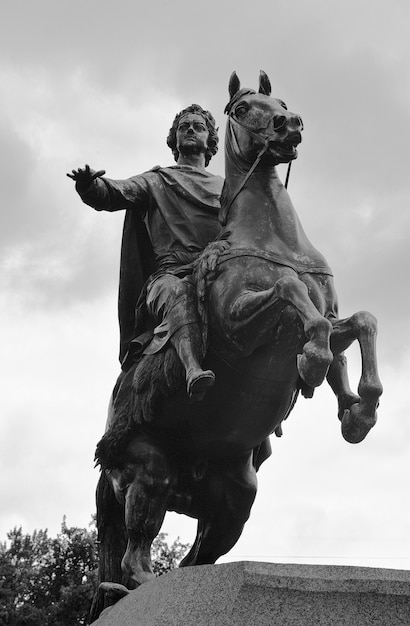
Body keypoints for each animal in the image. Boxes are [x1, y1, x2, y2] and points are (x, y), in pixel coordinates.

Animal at [89, 70, 382, 616]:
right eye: (244, 108)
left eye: (281, 101)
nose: (292, 124)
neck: (274, 239)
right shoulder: (240, 329)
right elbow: (290, 294)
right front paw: (313, 363)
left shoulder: (331, 314)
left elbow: (360, 324)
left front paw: (359, 410)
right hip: (149, 472)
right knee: (135, 556)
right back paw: (130, 590)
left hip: (235, 500)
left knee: (195, 558)